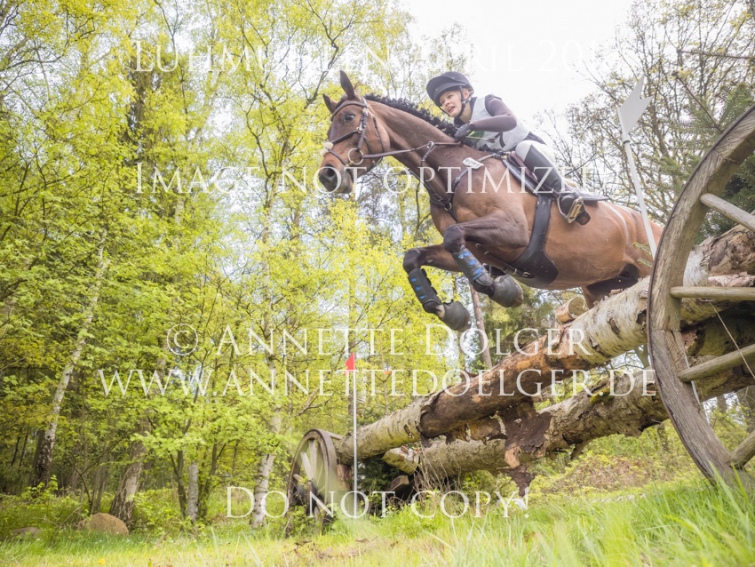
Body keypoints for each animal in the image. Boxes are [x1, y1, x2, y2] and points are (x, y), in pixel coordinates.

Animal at [319, 71, 663, 330]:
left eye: (349, 117)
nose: (327, 175)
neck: (452, 172)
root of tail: (653, 224)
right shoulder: (472, 249)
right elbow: (414, 256)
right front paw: (448, 311)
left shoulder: (513, 230)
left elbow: (453, 235)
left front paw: (499, 289)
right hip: (602, 287)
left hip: (647, 270)